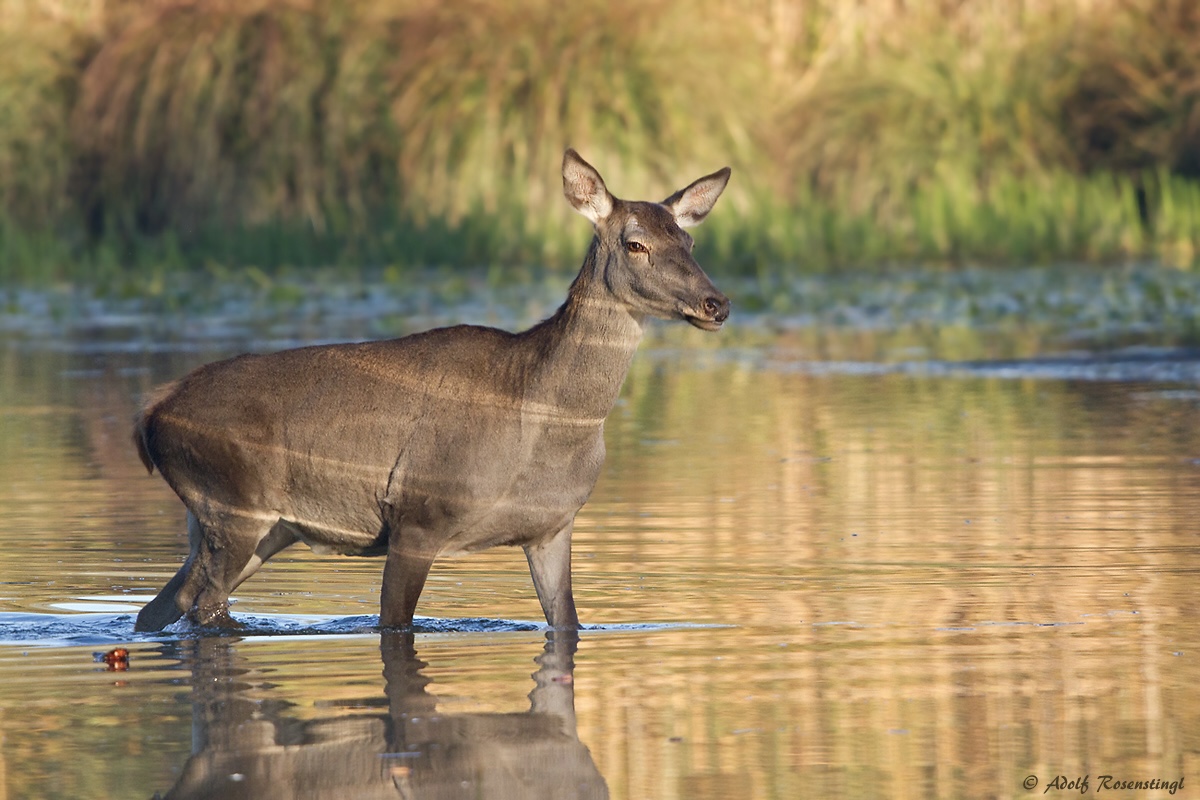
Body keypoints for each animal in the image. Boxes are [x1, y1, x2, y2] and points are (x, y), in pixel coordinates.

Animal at [131, 146, 729, 633]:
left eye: (689, 239)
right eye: (635, 243)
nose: (716, 303)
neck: (544, 424)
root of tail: (150, 413)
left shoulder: (553, 529)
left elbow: (569, 624)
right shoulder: (418, 518)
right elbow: (395, 626)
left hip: (255, 527)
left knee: (159, 606)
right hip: (231, 505)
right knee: (202, 605)